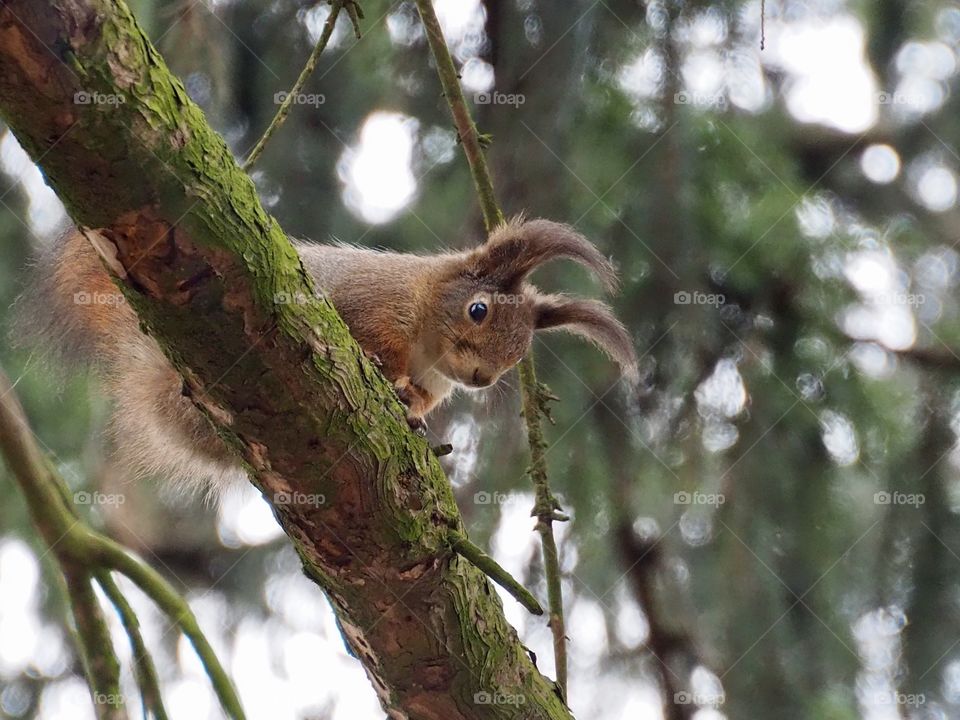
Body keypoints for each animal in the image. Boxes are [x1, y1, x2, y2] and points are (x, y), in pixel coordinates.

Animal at [19, 218, 637, 494]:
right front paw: (392, 382)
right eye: (478, 310)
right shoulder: (373, 302)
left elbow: (424, 395)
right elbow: (370, 340)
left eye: (521, 351)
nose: (483, 379)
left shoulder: (437, 379)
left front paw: (414, 408)